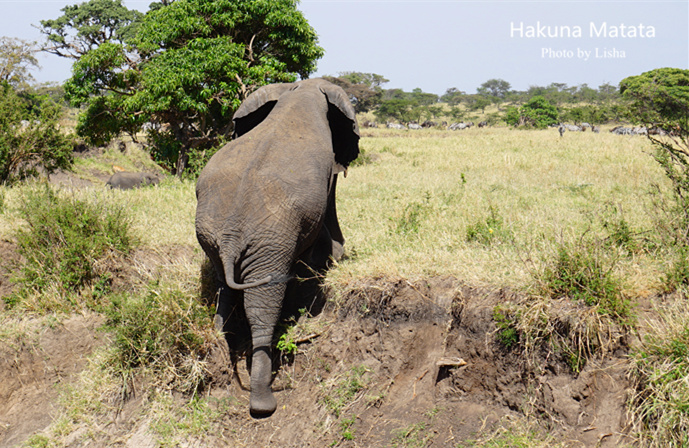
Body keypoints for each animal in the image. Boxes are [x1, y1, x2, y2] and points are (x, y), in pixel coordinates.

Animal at [194, 78, 360, 416]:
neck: (301, 90)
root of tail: (230, 237)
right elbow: (327, 214)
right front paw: (335, 258)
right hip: (271, 242)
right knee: (262, 307)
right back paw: (263, 402)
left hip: (212, 231)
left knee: (224, 284)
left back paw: (218, 336)